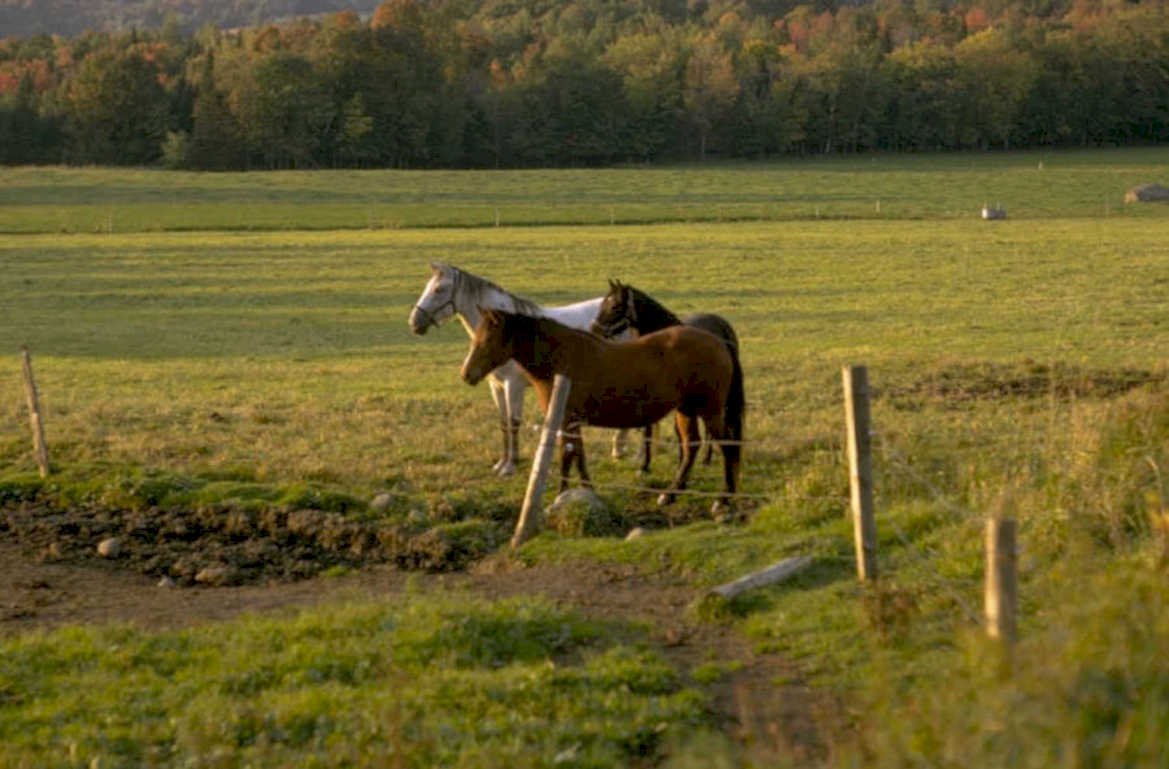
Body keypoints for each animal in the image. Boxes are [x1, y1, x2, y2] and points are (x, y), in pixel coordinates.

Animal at [408, 263, 633, 476]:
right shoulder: (497, 387)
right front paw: (501, 463)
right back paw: (619, 449)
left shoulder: (513, 386)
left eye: (438, 289)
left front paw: (511, 466)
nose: (414, 322)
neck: (510, 334)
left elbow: (513, 423)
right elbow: (503, 423)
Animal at [460, 308, 744, 514]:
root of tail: (718, 341)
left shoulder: (567, 420)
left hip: (710, 410)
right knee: (691, 447)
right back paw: (671, 495)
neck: (560, 358)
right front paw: (588, 493)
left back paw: (724, 499)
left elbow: (567, 457)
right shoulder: (571, 421)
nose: (466, 374)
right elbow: (578, 457)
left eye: (488, 339)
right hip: (686, 410)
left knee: (727, 446)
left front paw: (561, 496)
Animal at [590, 280, 742, 471]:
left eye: (615, 306)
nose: (594, 330)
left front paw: (648, 464)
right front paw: (650, 463)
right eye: (603, 303)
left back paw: (706, 459)